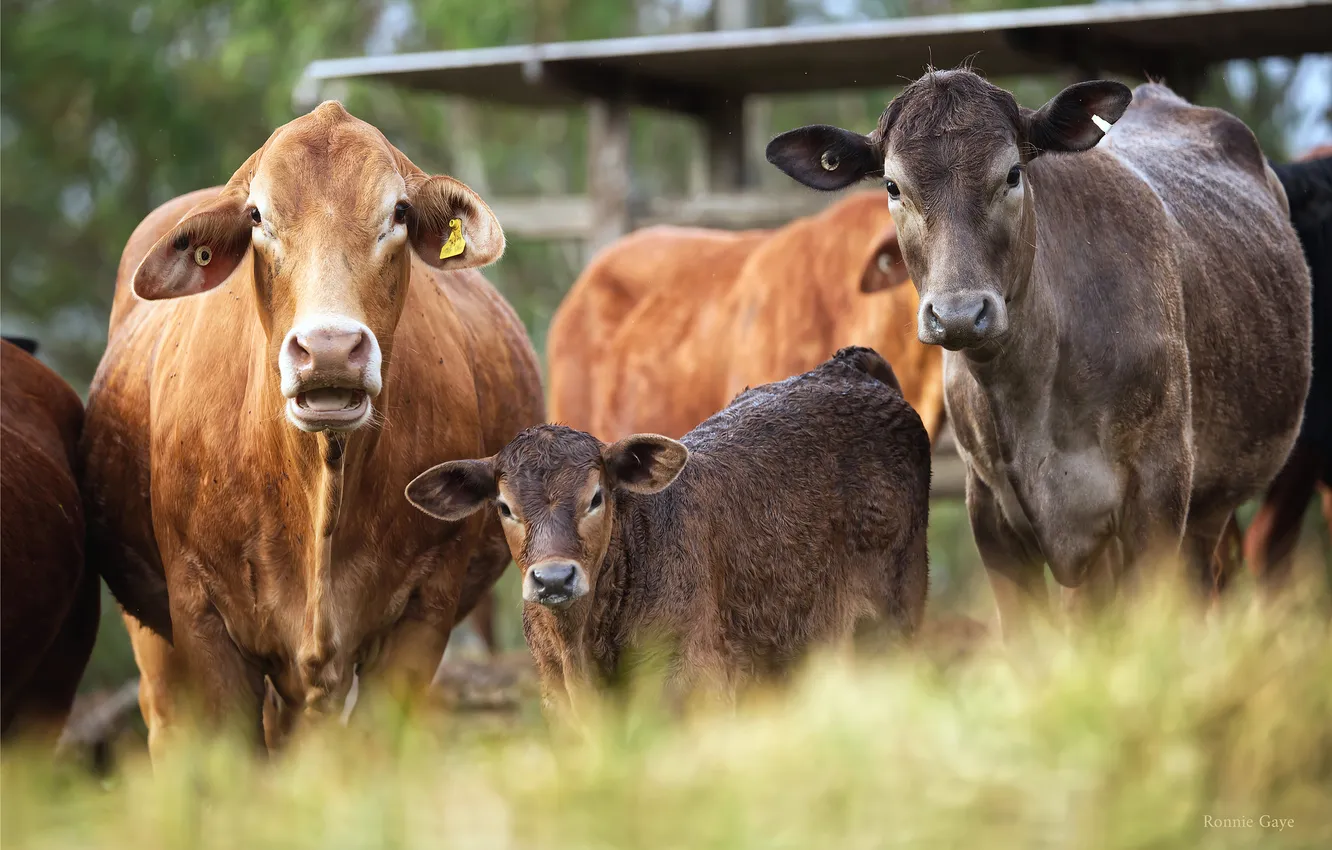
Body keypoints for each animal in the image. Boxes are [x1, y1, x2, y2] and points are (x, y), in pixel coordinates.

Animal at [406, 347, 931, 719]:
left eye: (596, 497)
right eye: (504, 506)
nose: (554, 579)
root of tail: (844, 366)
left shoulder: (697, 684)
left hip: (896, 614)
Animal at [767, 70, 1311, 636]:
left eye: (1012, 174)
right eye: (893, 187)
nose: (959, 313)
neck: (1033, 393)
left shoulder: (1158, 494)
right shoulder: (991, 514)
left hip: (1208, 509)